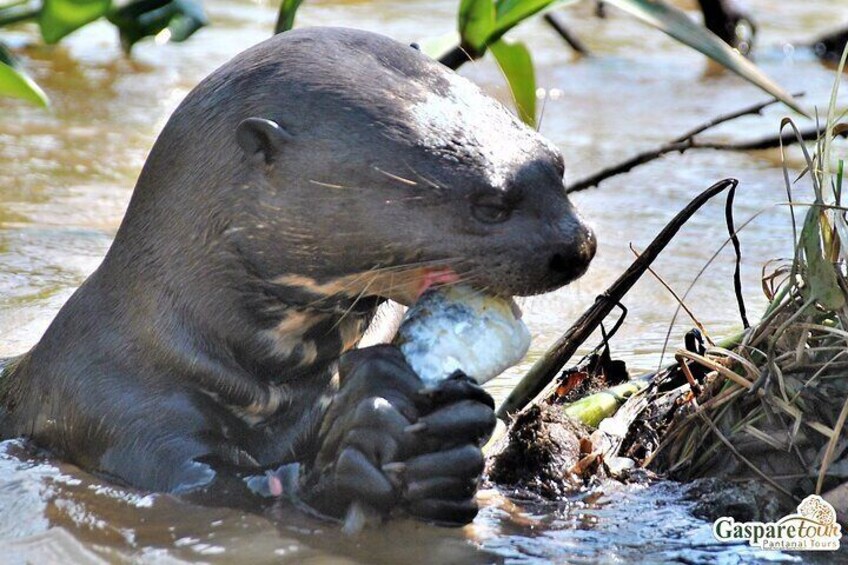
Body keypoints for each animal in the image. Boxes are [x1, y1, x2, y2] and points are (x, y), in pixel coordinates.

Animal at [0, 27, 596, 524]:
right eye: (490, 205)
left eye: (557, 164)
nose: (580, 246)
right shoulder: (113, 409)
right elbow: (224, 488)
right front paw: (360, 438)